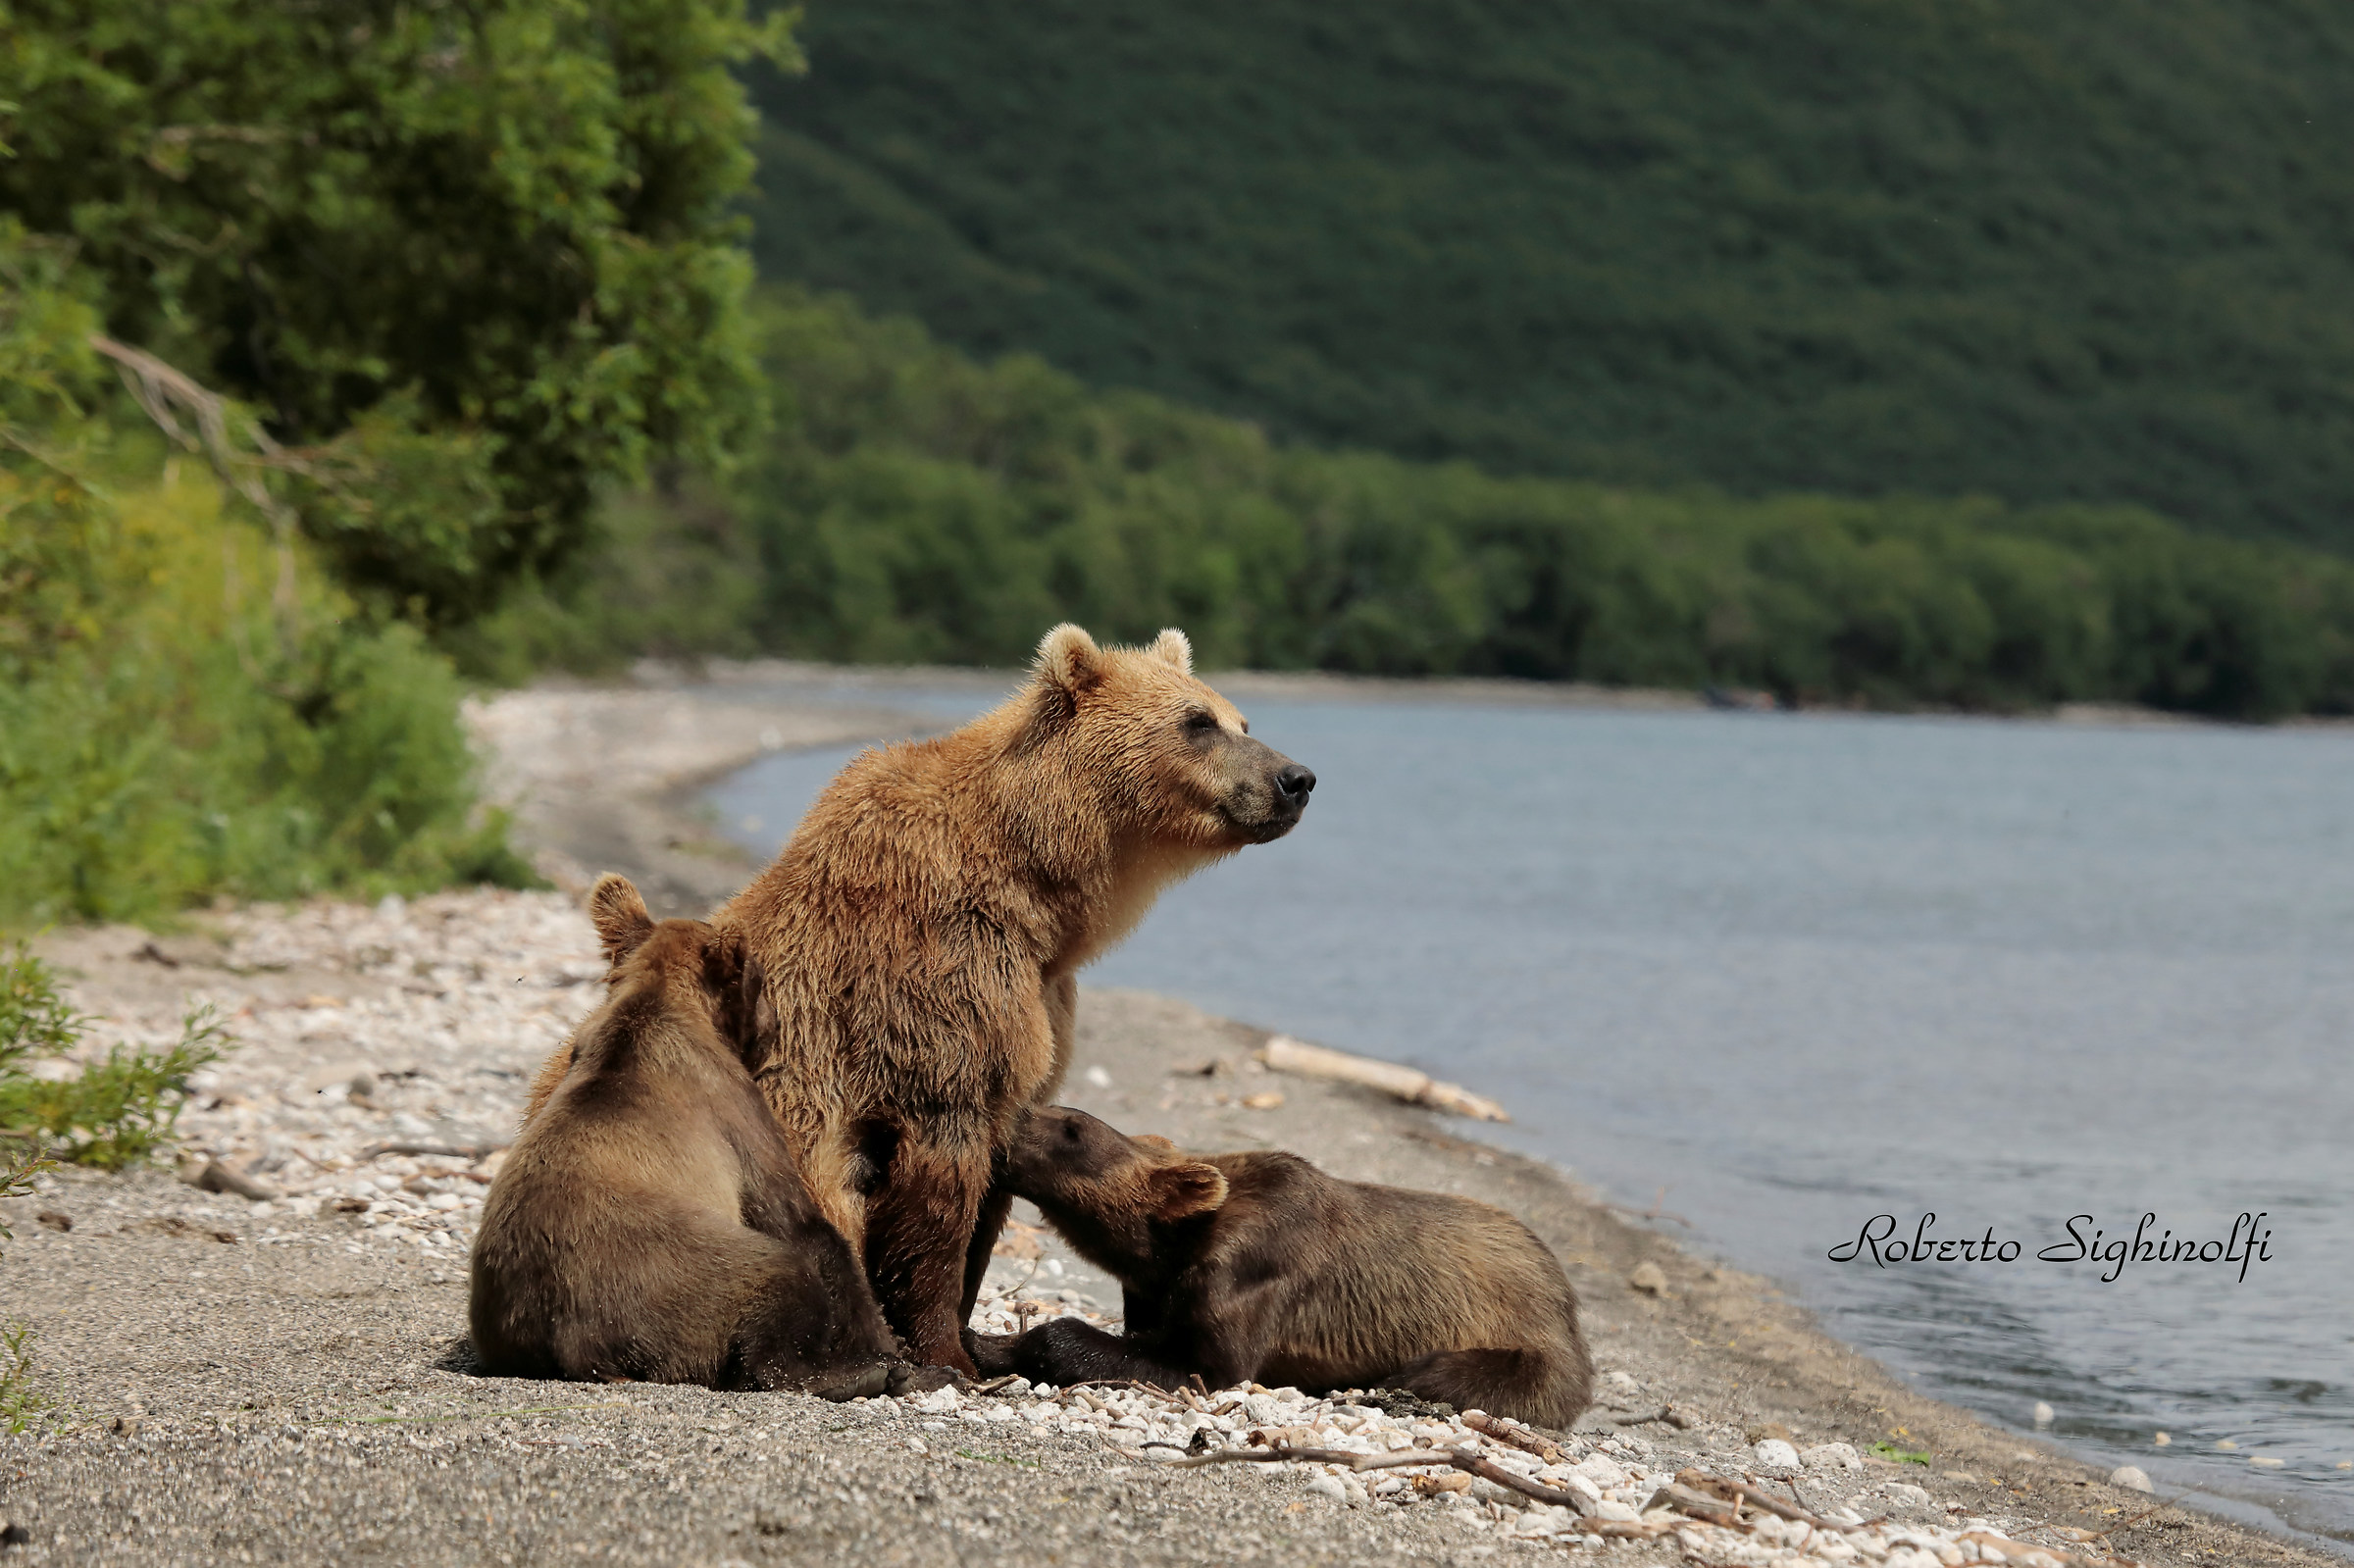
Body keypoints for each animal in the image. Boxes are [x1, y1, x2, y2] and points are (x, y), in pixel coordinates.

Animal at [471, 875, 906, 1396]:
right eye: (761, 982)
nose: (775, 1024)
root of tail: (573, 1346)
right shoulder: (730, 1103)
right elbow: (797, 1221)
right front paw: (893, 1351)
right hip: (667, 1272)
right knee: (775, 1274)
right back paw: (850, 1373)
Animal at [522, 625, 1314, 1375]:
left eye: (1240, 717)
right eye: (1198, 721)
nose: (1296, 777)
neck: (1038, 883)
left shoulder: (1040, 1000)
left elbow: (997, 1164)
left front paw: (969, 1331)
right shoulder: (935, 976)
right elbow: (938, 1176)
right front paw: (945, 1351)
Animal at [972, 1106, 1594, 1429]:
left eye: (1072, 1128)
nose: (1013, 1113)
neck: (1170, 1245)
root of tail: (1566, 1292)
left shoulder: (1251, 1269)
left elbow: (1206, 1366)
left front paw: (1034, 1342)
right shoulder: (1153, 1288)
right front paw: (987, 1341)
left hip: (1529, 1342)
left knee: (1447, 1372)